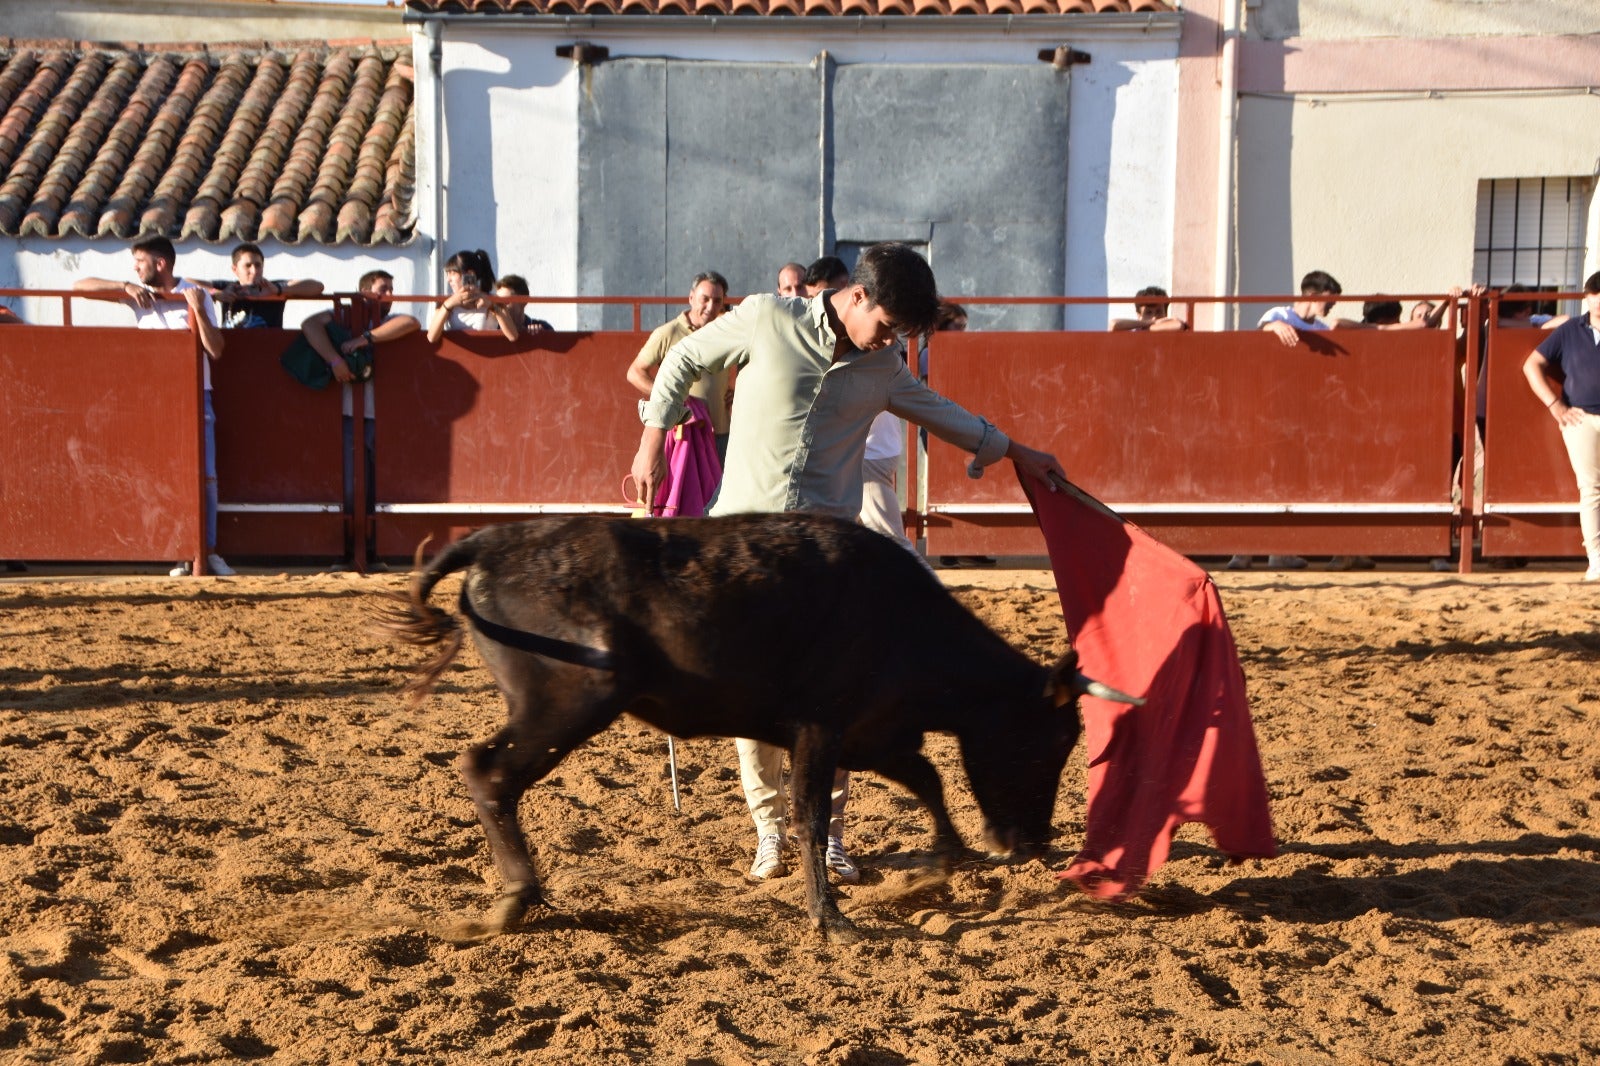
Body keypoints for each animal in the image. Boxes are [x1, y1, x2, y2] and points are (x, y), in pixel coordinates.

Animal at [379, 512, 1132, 941]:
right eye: (1047, 743)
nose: (1031, 845)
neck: (902, 617)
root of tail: (494, 540)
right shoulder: (822, 729)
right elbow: (811, 816)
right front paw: (833, 920)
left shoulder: (872, 730)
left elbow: (926, 779)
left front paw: (938, 869)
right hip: (569, 702)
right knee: (489, 772)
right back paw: (514, 901)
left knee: (488, 774)